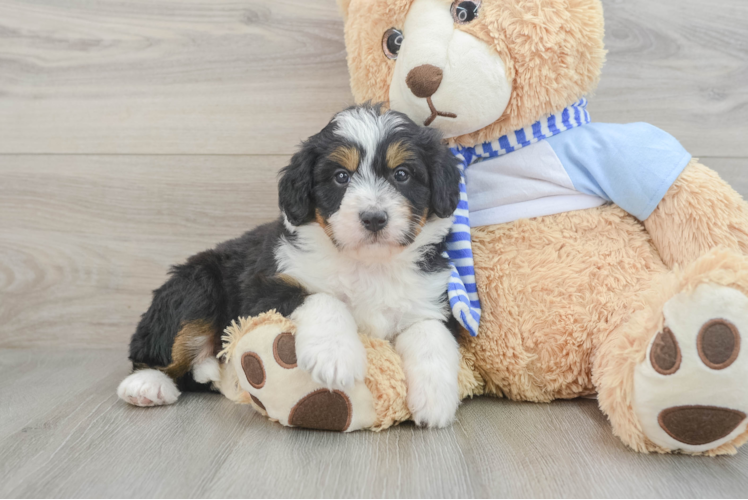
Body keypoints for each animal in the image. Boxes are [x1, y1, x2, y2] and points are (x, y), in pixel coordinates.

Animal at [117, 103, 464, 428]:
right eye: (341, 177)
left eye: (402, 174)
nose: (374, 218)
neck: (367, 264)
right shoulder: (264, 290)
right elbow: (323, 298)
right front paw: (335, 355)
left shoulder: (429, 299)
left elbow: (431, 334)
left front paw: (435, 398)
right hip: (195, 286)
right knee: (157, 350)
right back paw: (147, 384)